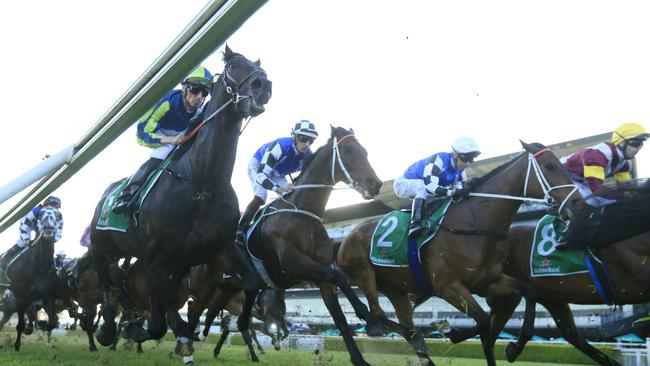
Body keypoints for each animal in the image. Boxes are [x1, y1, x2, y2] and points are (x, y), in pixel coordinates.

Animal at [3, 207, 62, 350]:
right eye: (40, 215)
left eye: (57, 216)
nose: (48, 229)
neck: (39, 267)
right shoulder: (21, 297)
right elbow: (20, 325)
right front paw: (17, 344)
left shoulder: (48, 296)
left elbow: (52, 322)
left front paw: (41, 326)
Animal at [238, 126, 382, 366]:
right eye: (348, 150)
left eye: (365, 151)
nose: (375, 184)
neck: (302, 213)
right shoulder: (293, 264)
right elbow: (338, 275)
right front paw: (370, 317)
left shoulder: (319, 274)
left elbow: (340, 317)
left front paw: (359, 358)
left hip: (250, 286)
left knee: (242, 322)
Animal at [336, 141, 580, 366]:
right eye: (550, 165)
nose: (577, 201)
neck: (474, 223)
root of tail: (347, 236)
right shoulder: (447, 287)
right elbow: (484, 321)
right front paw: (450, 331)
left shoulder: (488, 282)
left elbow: (528, 292)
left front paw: (514, 348)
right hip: (364, 274)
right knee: (378, 315)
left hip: (396, 289)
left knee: (405, 324)